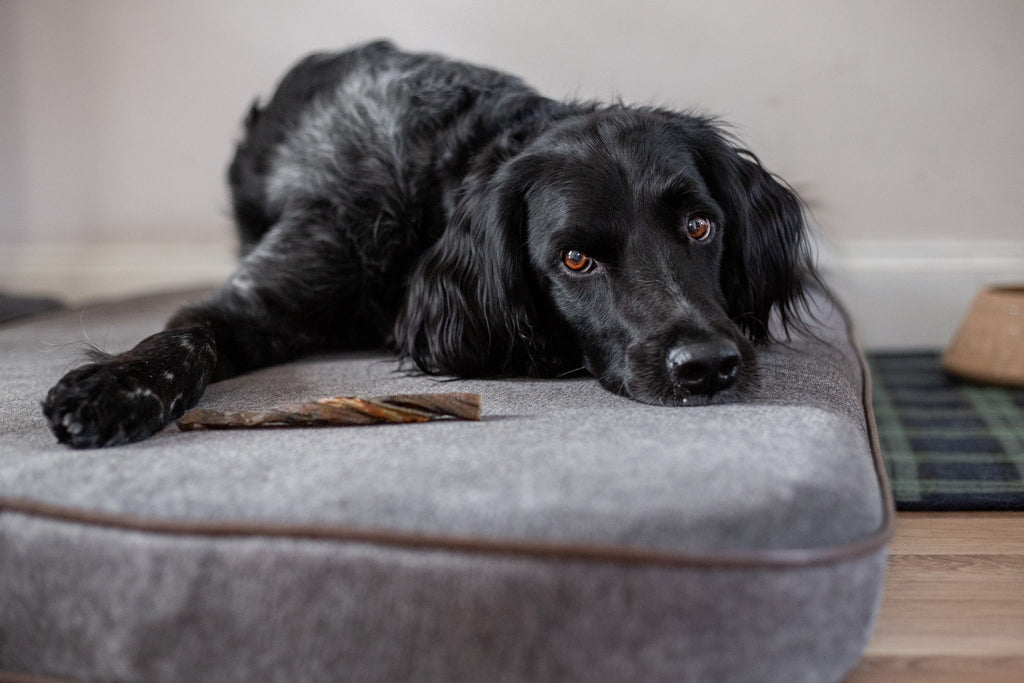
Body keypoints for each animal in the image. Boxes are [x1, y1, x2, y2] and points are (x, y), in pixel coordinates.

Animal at [44, 42, 819, 448]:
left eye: (700, 226)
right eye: (575, 259)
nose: (708, 366)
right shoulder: (254, 301)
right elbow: (182, 340)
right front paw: (112, 387)